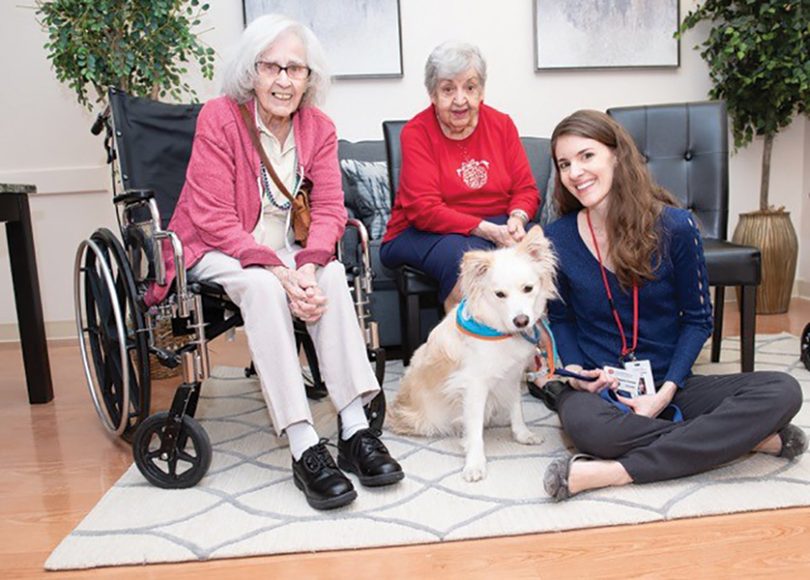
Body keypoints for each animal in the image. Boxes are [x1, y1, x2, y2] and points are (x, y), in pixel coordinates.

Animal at [390, 227, 556, 480]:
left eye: (528, 288)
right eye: (500, 294)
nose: (521, 321)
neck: (498, 331)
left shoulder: (512, 376)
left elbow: (516, 408)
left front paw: (522, 434)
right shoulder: (474, 386)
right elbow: (475, 428)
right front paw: (475, 463)